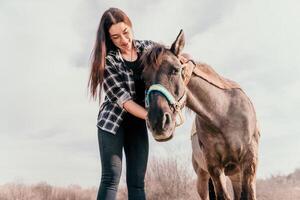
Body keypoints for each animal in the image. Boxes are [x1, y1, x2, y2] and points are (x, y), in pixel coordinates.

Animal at [142, 30, 258, 200]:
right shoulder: (214, 168)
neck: (223, 115)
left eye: (175, 69)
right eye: (143, 78)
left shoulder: (249, 163)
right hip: (203, 179)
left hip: (236, 175)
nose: (158, 122)